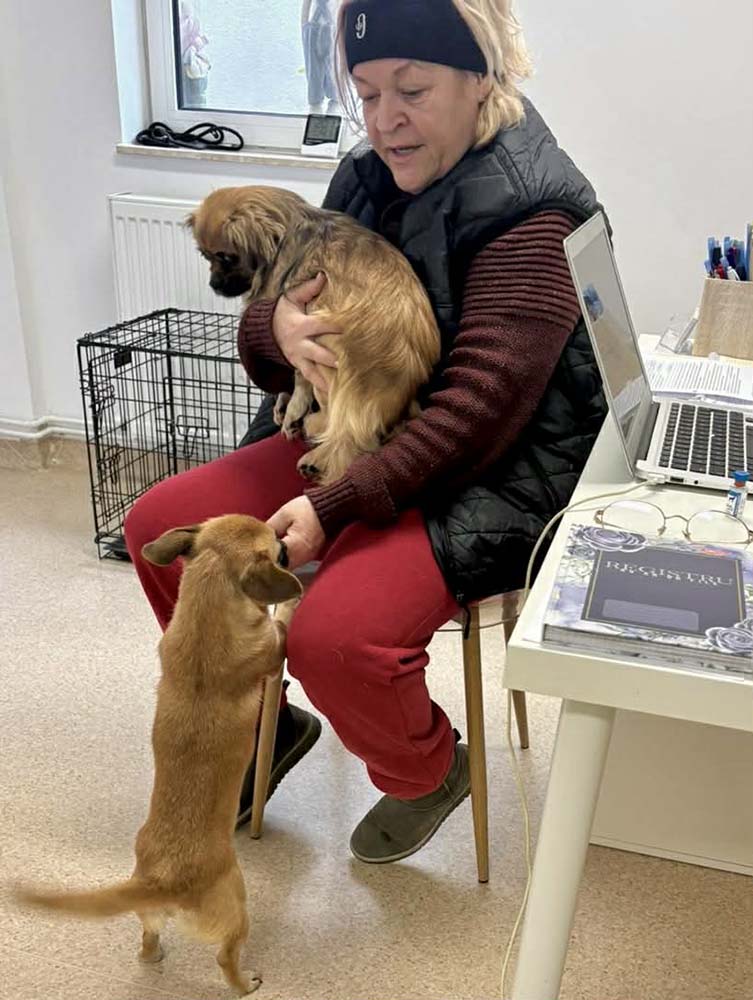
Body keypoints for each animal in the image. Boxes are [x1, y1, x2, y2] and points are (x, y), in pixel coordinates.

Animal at [14, 514, 302, 997]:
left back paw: (153, 955)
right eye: (275, 545)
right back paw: (246, 983)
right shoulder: (272, 647)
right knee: (226, 957)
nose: (286, 538)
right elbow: (280, 623)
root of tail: (162, 881)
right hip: (237, 909)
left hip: (149, 919)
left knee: (147, 937)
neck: (206, 610)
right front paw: (292, 600)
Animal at [188, 185, 441, 484]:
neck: (285, 235)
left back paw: (313, 443)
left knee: (345, 434)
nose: (214, 284)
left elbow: (299, 380)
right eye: (205, 256)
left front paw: (293, 411)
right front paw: (283, 404)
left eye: (226, 256)